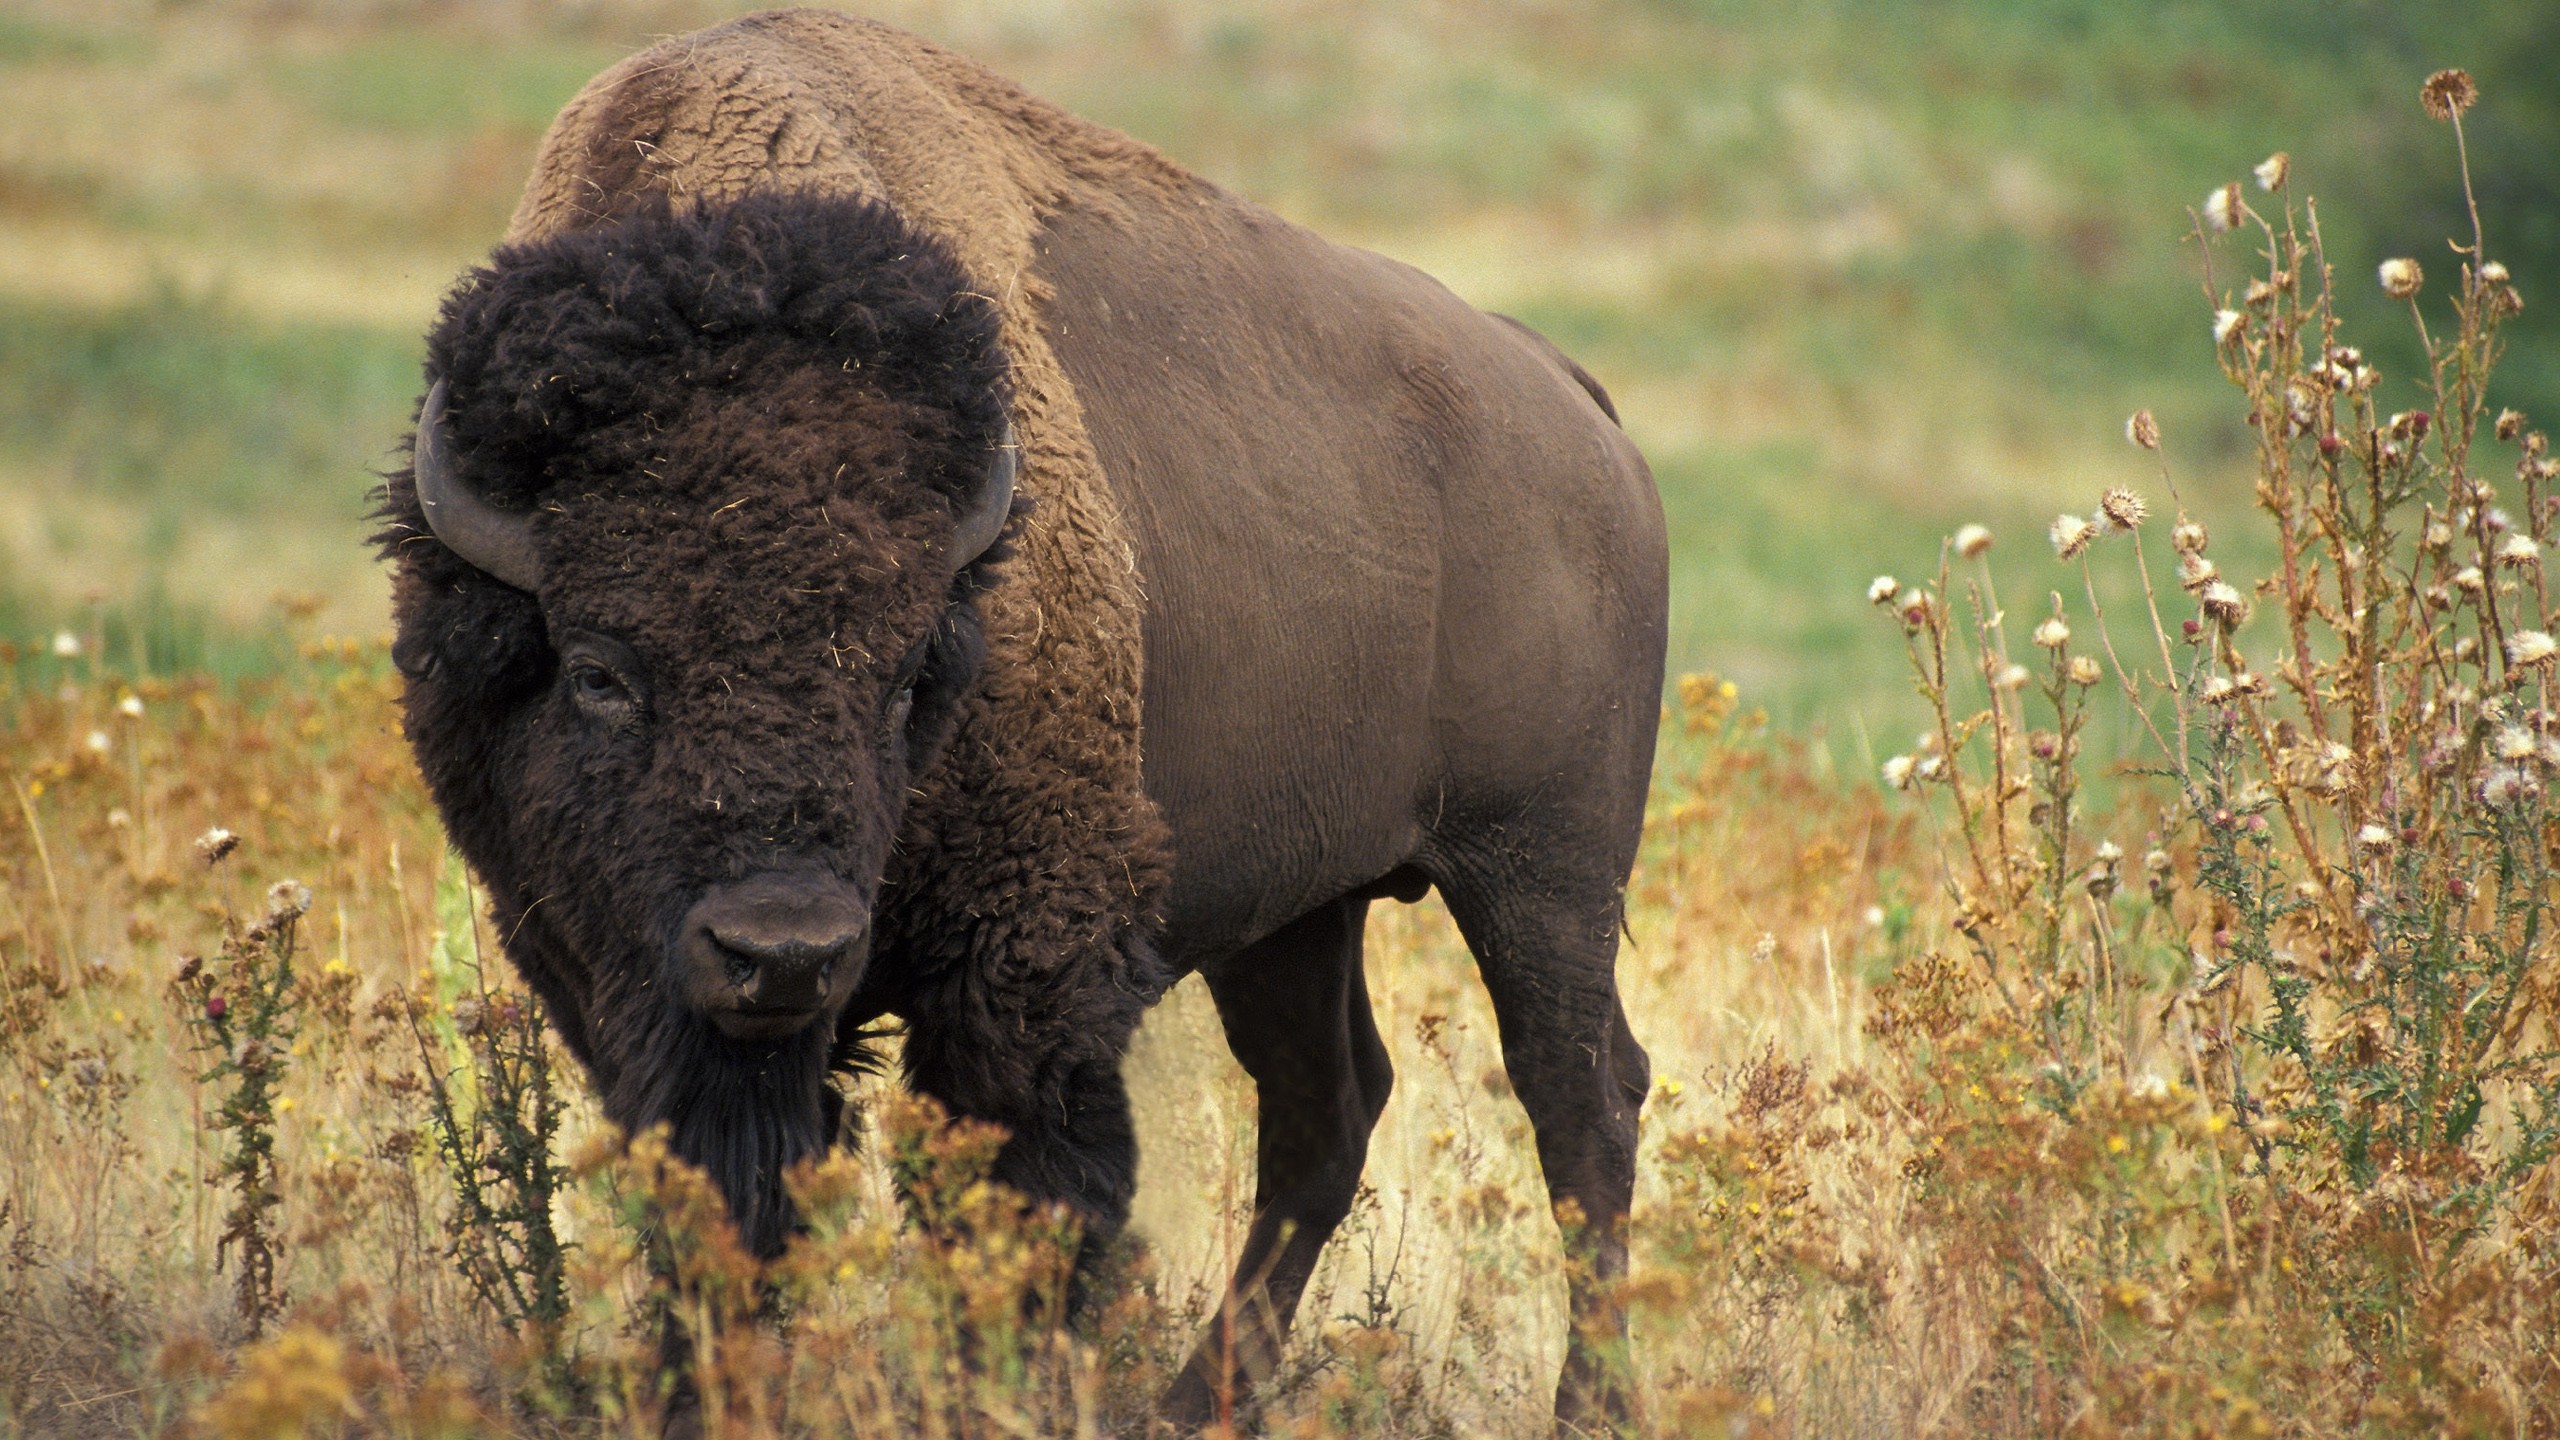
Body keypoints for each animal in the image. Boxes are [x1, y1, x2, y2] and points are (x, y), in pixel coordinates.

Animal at [373, 8, 1658, 1424]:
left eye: (905, 676)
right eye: (599, 670)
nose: (784, 950)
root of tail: (1571, 402)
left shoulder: (1025, 963)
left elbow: (1024, 1206)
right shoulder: (614, 980)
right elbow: (721, 1208)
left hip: (1542, 872)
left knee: (1579, 1101)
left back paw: (1586, 1407)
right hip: (1299, 906)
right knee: (1327, 1108)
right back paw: (1193, 1407)